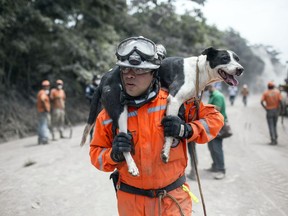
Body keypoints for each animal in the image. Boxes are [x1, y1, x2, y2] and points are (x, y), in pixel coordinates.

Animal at [80, 46, 243, 176]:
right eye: (224, 58)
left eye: (237, 59)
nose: (241, 69)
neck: (198, 71)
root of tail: (103, 79)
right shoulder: (174, 99)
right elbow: (169, 135)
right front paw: (165, 152)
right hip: (120, 112)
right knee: (123, 140)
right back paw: (132, 166)